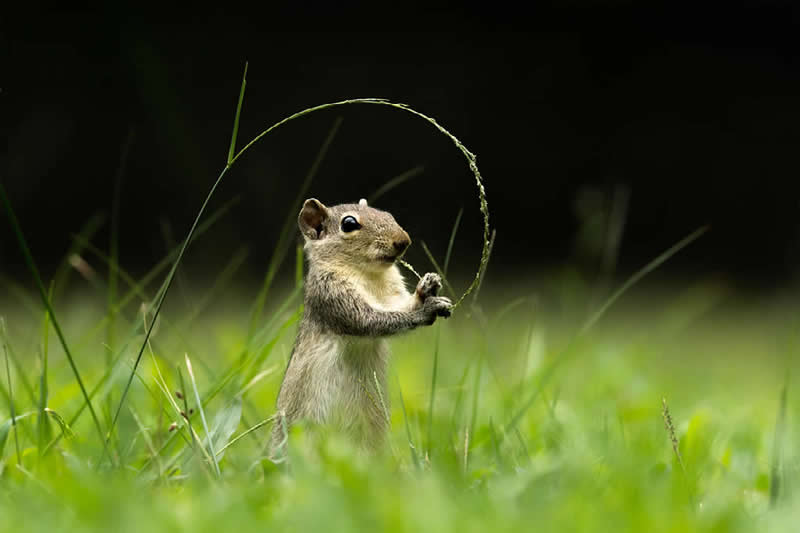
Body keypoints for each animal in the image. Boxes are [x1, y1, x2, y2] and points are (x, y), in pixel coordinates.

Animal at [269, 197, 452, 456]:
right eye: (349, 224)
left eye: (387, 213)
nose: (403, 240)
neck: (367, 273)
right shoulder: (331, 295)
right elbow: (367, 320)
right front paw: (424, 309)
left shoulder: (392, 293)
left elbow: (396, 305)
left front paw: (428, 288)